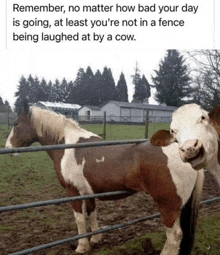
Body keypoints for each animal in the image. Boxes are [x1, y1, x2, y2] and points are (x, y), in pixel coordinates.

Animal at [5, 101, 205, 255]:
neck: (66, 145)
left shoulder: (73, 192)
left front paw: (82, 246)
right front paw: (95, 239)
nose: (7, 149)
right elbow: (92, 214)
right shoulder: (89, 191)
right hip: (178, 205)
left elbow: (79, 219)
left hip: (168, 205)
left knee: (174, 236)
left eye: (15, 123)